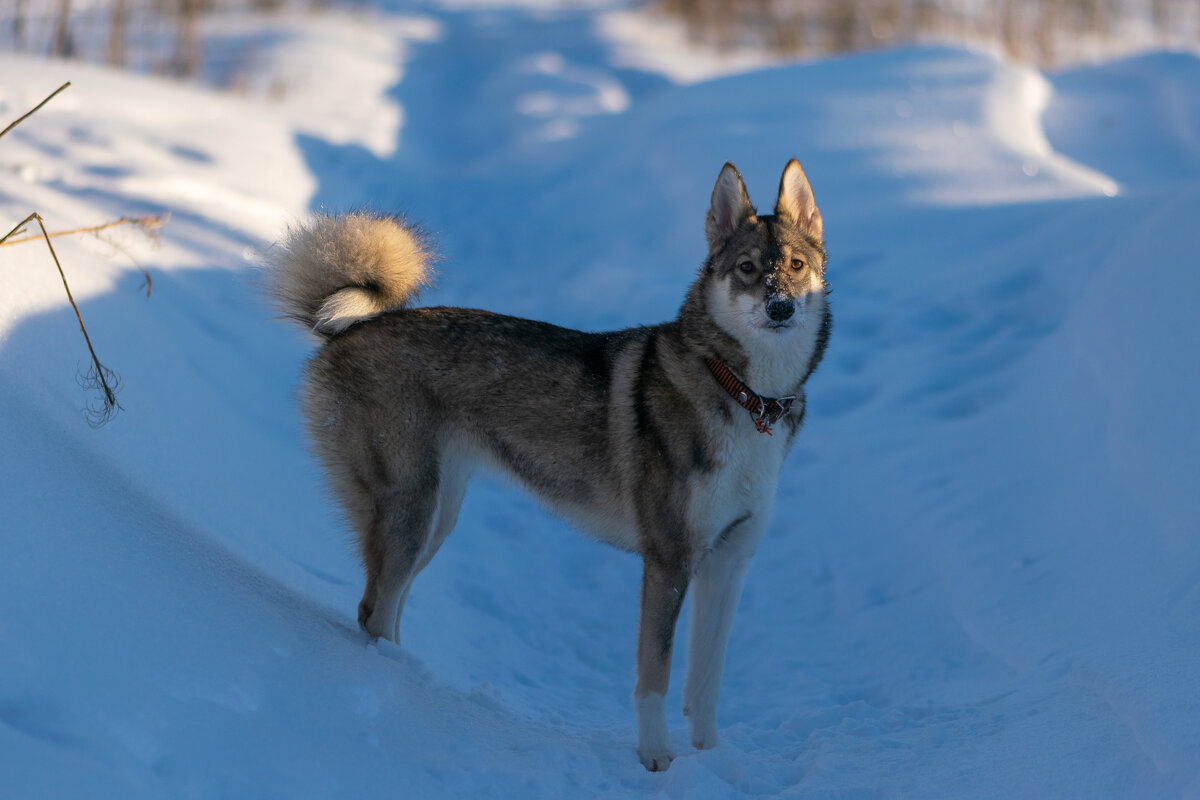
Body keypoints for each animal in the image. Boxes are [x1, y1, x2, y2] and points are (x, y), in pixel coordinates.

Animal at [268, 160, 830, 767]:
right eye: (747, 268)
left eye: (796, 266)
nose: (780, 307)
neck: (746, 396)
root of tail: (349, 329)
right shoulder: (669, 562)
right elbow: (654, 678)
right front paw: (657, 761)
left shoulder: (728, 565)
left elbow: (705, 685)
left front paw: (711, 761)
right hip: (412, 513)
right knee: (373, 609)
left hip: (436, 520)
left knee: (384, 610)